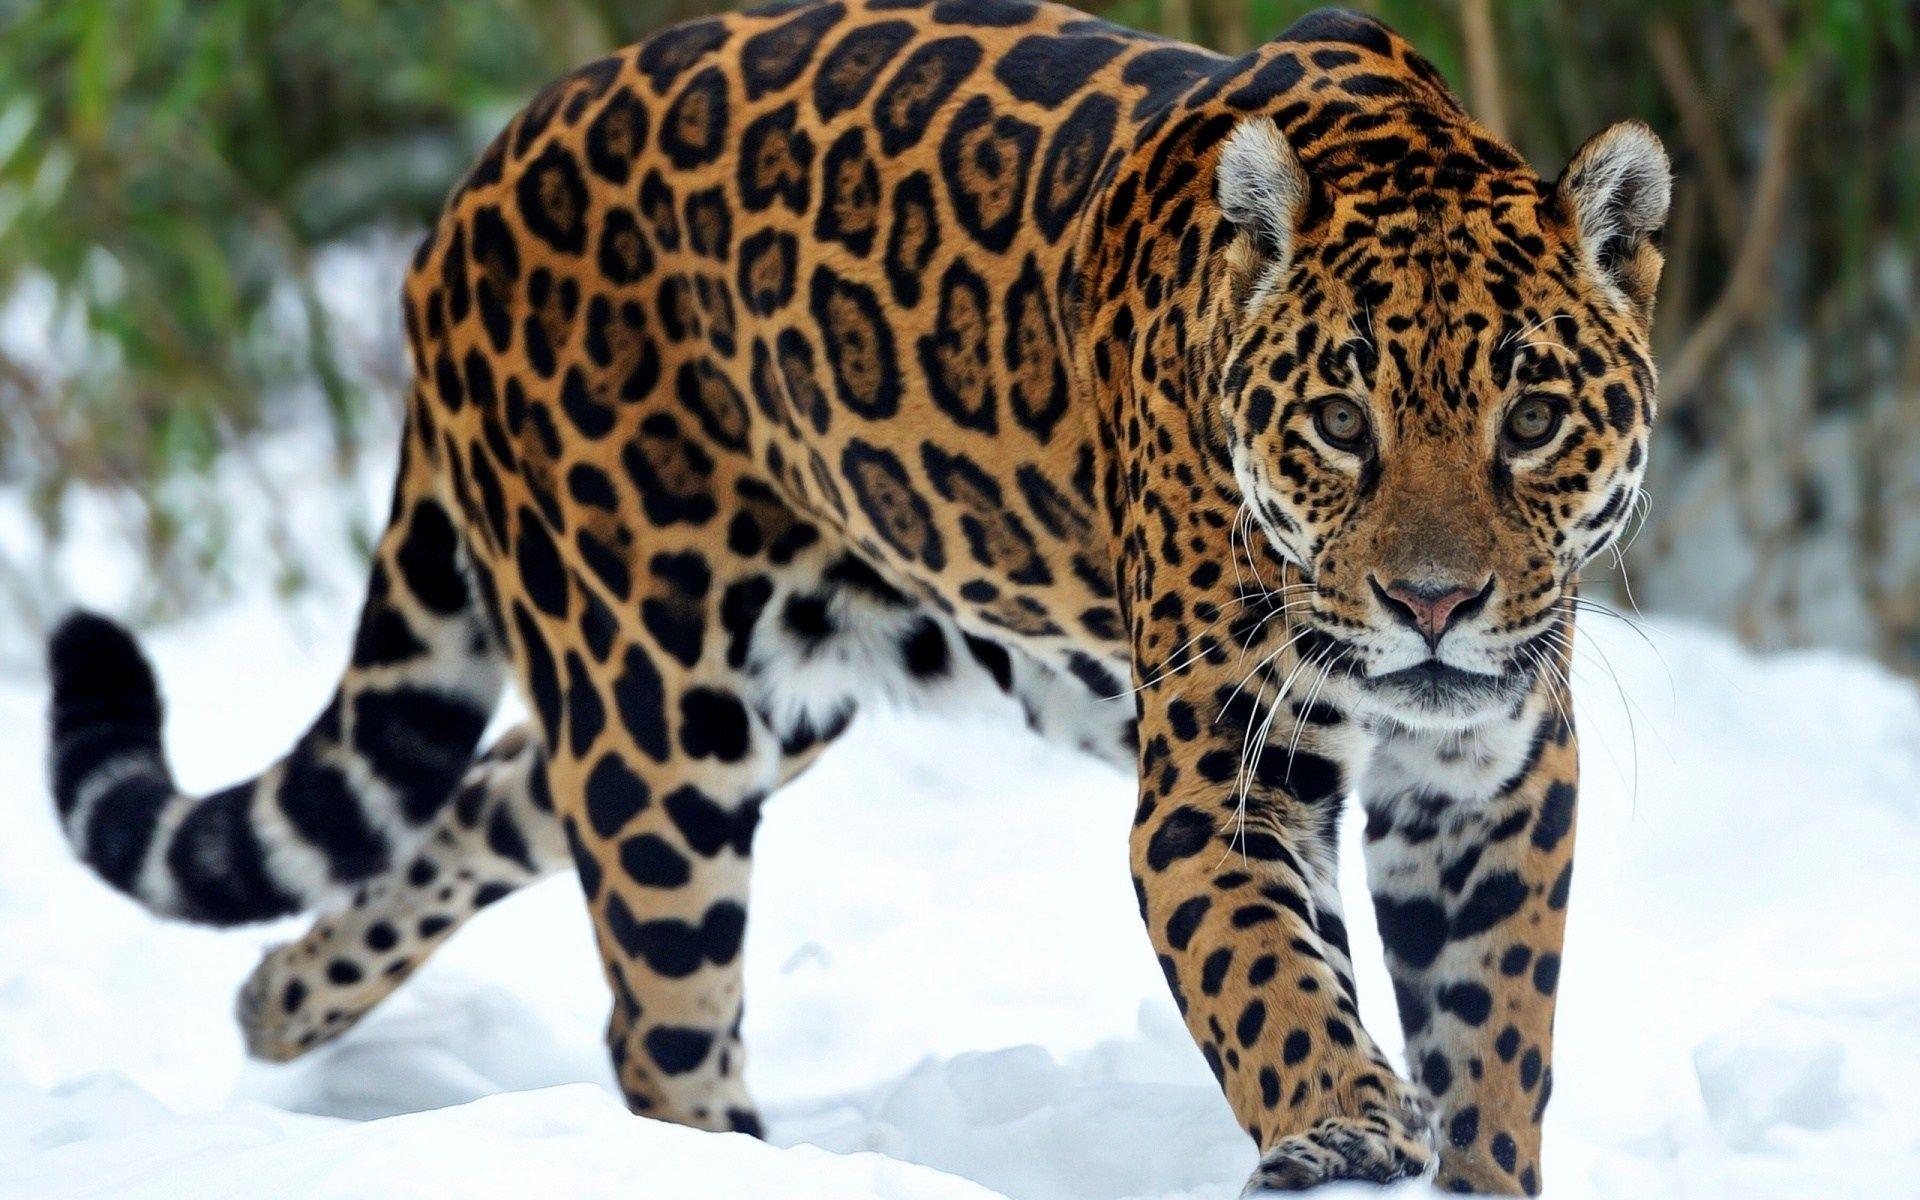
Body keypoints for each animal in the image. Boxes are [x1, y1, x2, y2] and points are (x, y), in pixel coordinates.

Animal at [45, 2, 1669, 1192]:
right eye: (1340, 422)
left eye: (1532, 419)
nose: (1434, 605)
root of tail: (472, 186)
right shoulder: (1225, 781)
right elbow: (1270, 980)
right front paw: (1339, 1121)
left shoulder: (1491, 783)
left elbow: (1495, 1043)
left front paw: (1466, 1155)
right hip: (658, 714)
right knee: (660, 1023)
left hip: (748, 699)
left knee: (484, 798)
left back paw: (281, 1000)